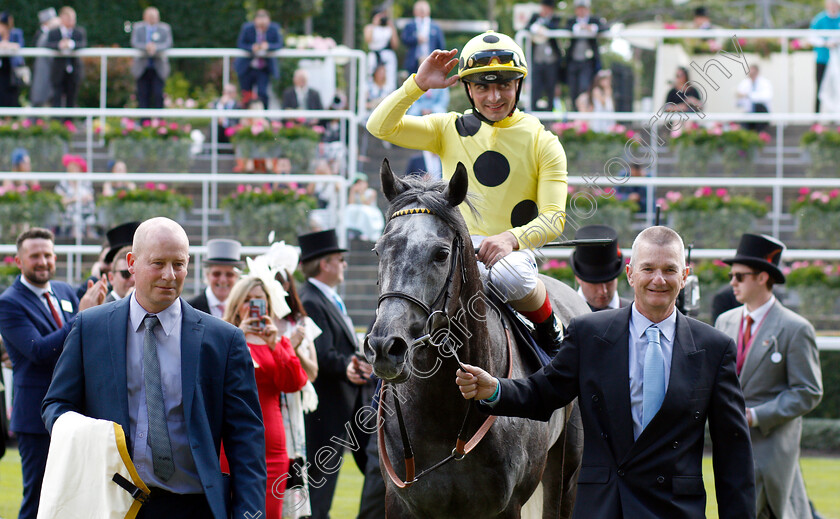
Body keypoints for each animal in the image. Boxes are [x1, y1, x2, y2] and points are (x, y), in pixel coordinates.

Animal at [364, 160, 588, 516]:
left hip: (565, 472)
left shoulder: (506, 506)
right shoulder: (400, 502)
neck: (443, 415)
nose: (386, 346)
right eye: (378, 250)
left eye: (441, 254)